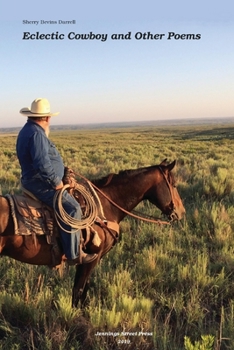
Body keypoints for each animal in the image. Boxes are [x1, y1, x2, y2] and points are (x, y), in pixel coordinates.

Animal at [0, 161, 185, 306]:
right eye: (174, 184)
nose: (181, 212)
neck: (105, 207)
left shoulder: (93, 260)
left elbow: (84, 291)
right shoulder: (90, 258)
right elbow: (78, 292)